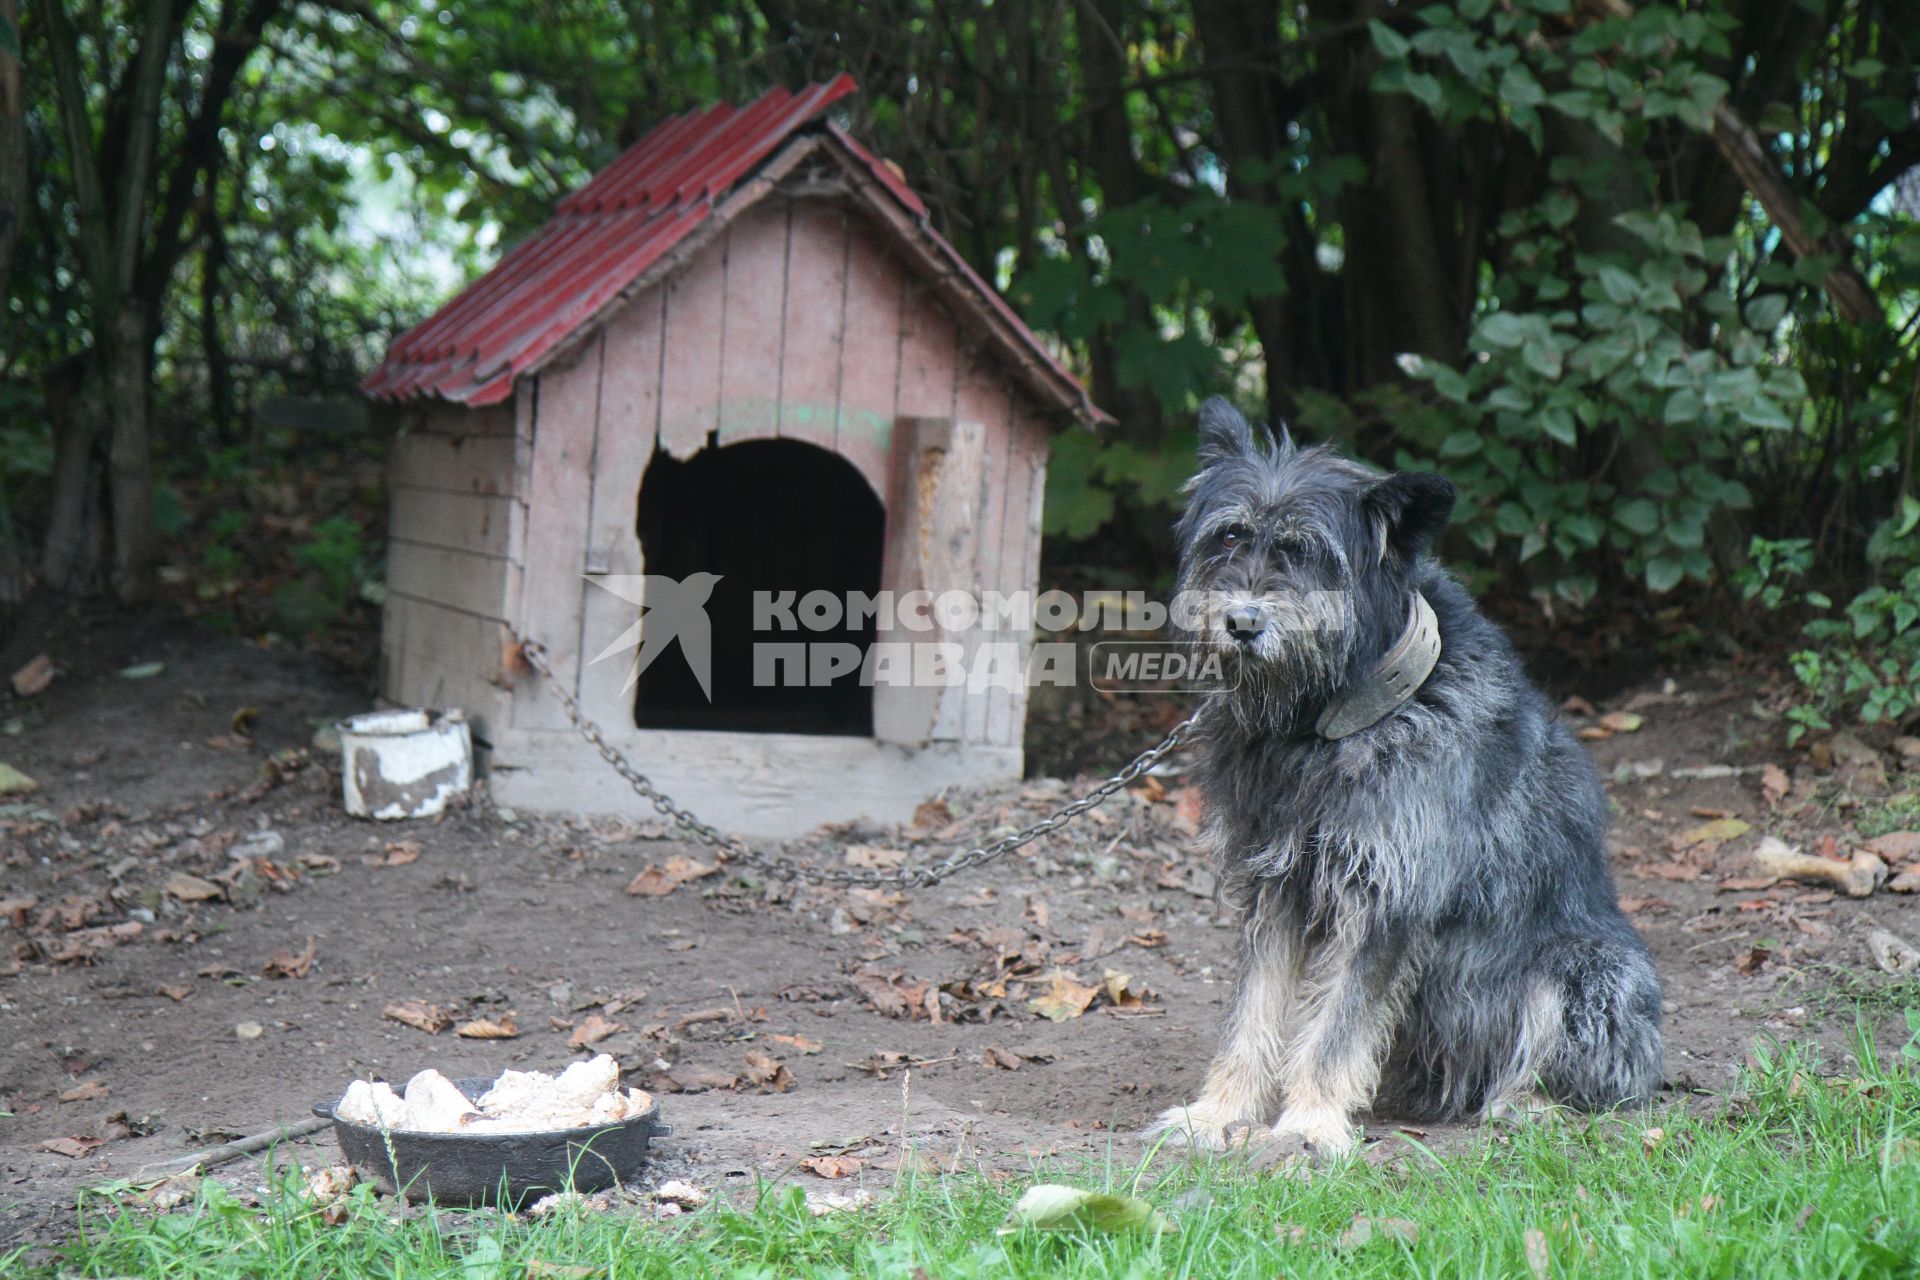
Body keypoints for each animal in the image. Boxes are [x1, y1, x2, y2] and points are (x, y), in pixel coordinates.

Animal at [1144, 401, 1658, 1159]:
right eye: (1229, 536)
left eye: (1308, 552)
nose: (1241, 622)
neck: (1326, 726)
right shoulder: (1276, 889)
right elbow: (1252, 1013)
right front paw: (1218, 1112)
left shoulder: (1387, 898)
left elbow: (1336, 1027)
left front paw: (1307, 1124)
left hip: (1591, 970)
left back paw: (1526, 1104)